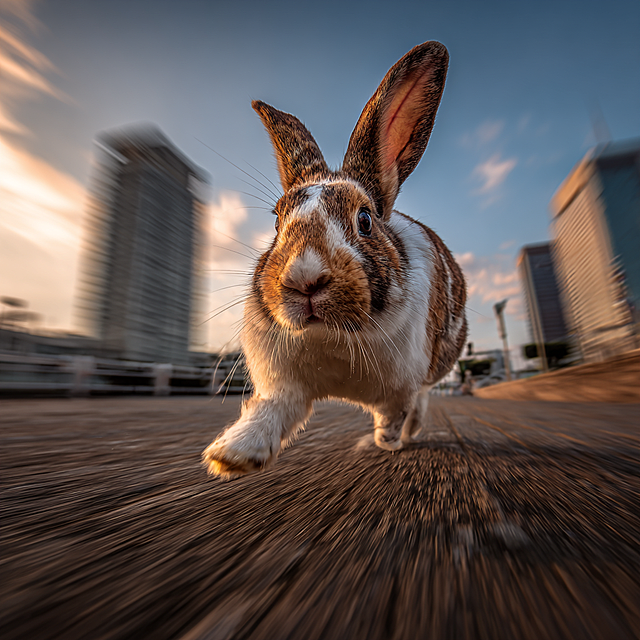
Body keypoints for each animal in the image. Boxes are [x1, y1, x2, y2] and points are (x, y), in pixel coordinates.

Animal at [203, 41, 467, 479]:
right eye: (276, 220)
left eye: (365, 220)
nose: (304, 279)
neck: (333, 335)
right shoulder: (285, 384)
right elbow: (272, 411)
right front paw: (233, 455)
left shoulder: (402, 387)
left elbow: (395, 413)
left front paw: (386, 440)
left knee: (423, 399)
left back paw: (406, 436)